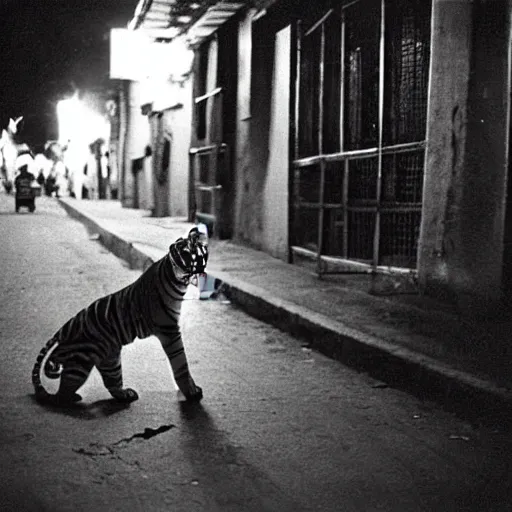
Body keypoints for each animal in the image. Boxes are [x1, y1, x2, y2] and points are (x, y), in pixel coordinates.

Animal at [31, 226, 208, 406]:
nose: (201, 272)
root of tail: (64, 328)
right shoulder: (169, 329)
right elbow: (181, 363)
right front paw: (191, 392)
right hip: (80, 363)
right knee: (61, 394)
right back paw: (71, 399)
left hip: (110, 359)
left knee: (111, 382)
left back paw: (126, 394)